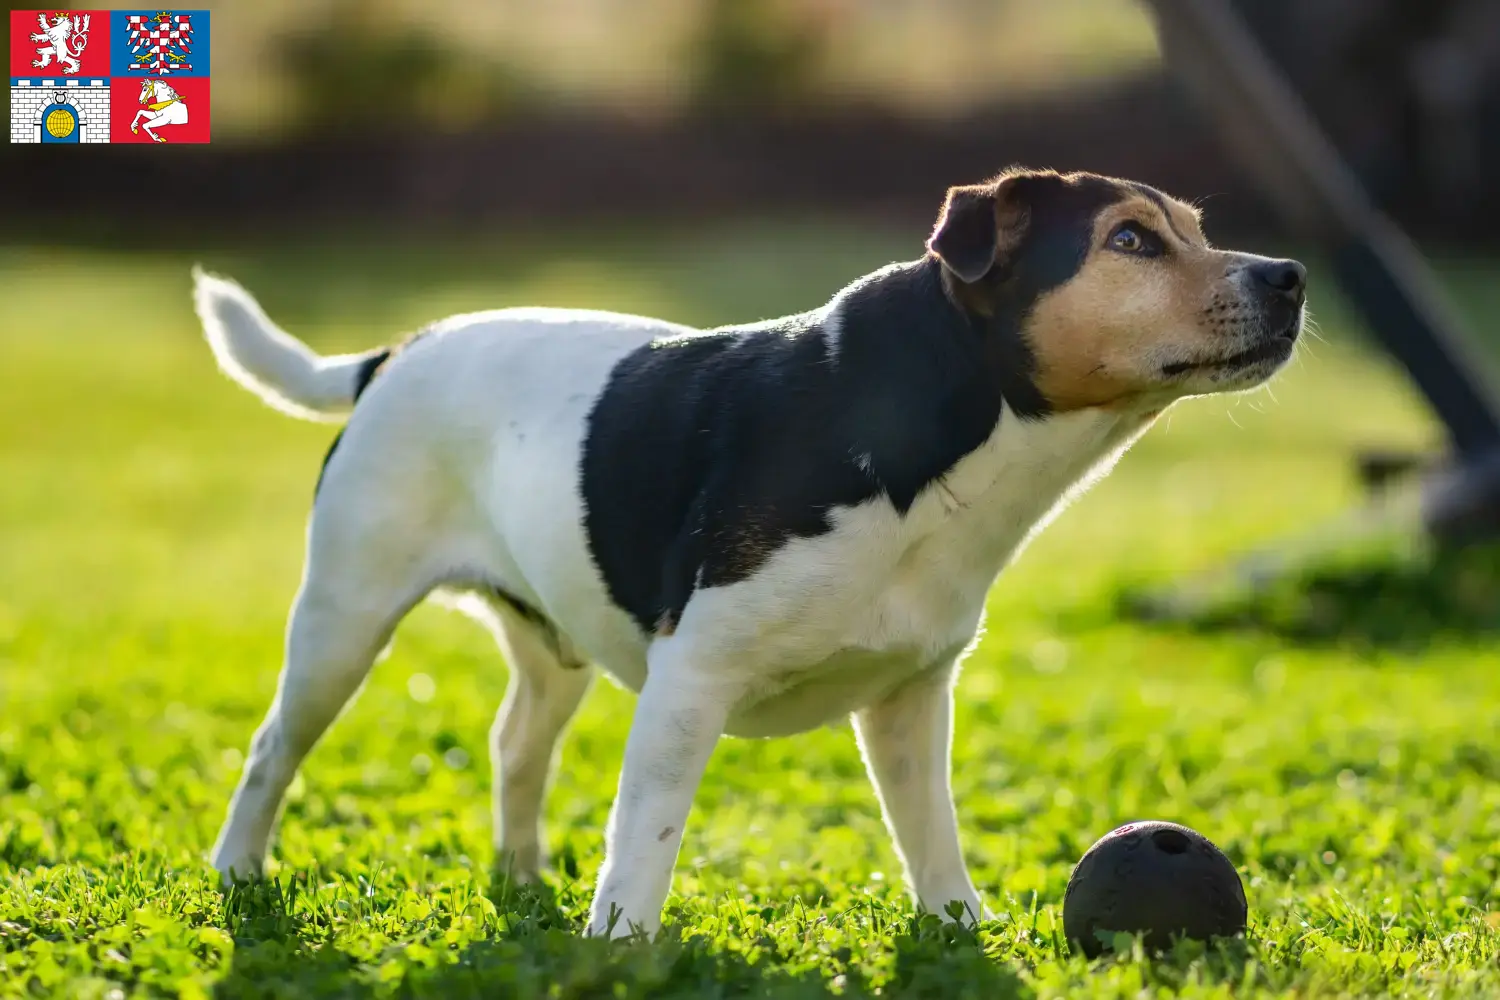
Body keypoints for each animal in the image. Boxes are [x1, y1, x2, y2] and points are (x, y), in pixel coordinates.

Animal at [196, 166, 1302, 941]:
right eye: (1131, 241)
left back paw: (518, 875)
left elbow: (929, 831)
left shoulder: (910, 699)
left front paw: (961, 929)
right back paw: (237, 871)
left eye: (1199, 232)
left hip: (552, 641)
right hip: (343, 621)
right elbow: (644, 842)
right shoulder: (689, 683)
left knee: (514, 742)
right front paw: (620, 950)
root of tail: (395, 354)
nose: (1288, 275)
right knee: (272, 747)